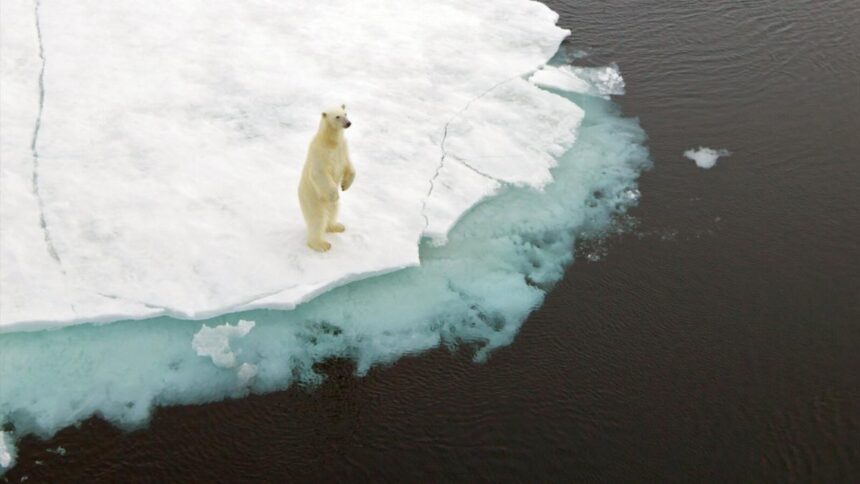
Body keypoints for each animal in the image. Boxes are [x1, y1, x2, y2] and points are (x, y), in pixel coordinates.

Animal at [298, 103, 356, 251]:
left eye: (345, 113)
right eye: (337, 116)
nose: (348, 123)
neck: (330, 142)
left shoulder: (343, 148)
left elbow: (349, 166)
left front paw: (344, 185)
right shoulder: (320, 152)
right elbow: (319, 173)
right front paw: (335, 194)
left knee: (333, 211)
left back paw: (336, 226)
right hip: (313, 200)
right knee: (317, 219)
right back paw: (321, 244)